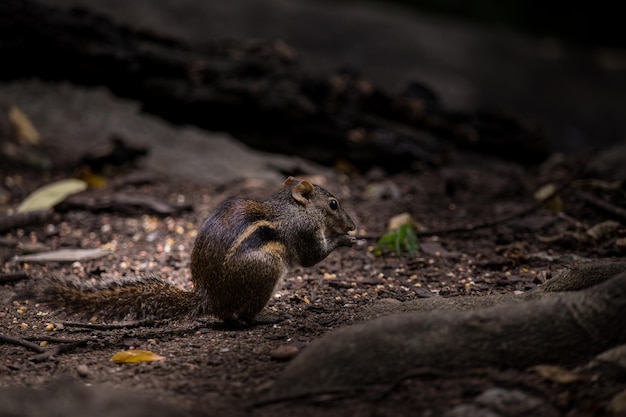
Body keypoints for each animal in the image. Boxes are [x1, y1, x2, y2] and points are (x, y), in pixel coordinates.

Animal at [39, 177, 354, 324]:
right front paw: (346, 240)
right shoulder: (304, 233)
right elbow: (312, 258)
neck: (289, 207)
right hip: (266, 268)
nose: (352, 225)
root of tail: (209, 298)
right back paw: (268, 318)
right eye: (333, 204)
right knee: (242, 317)